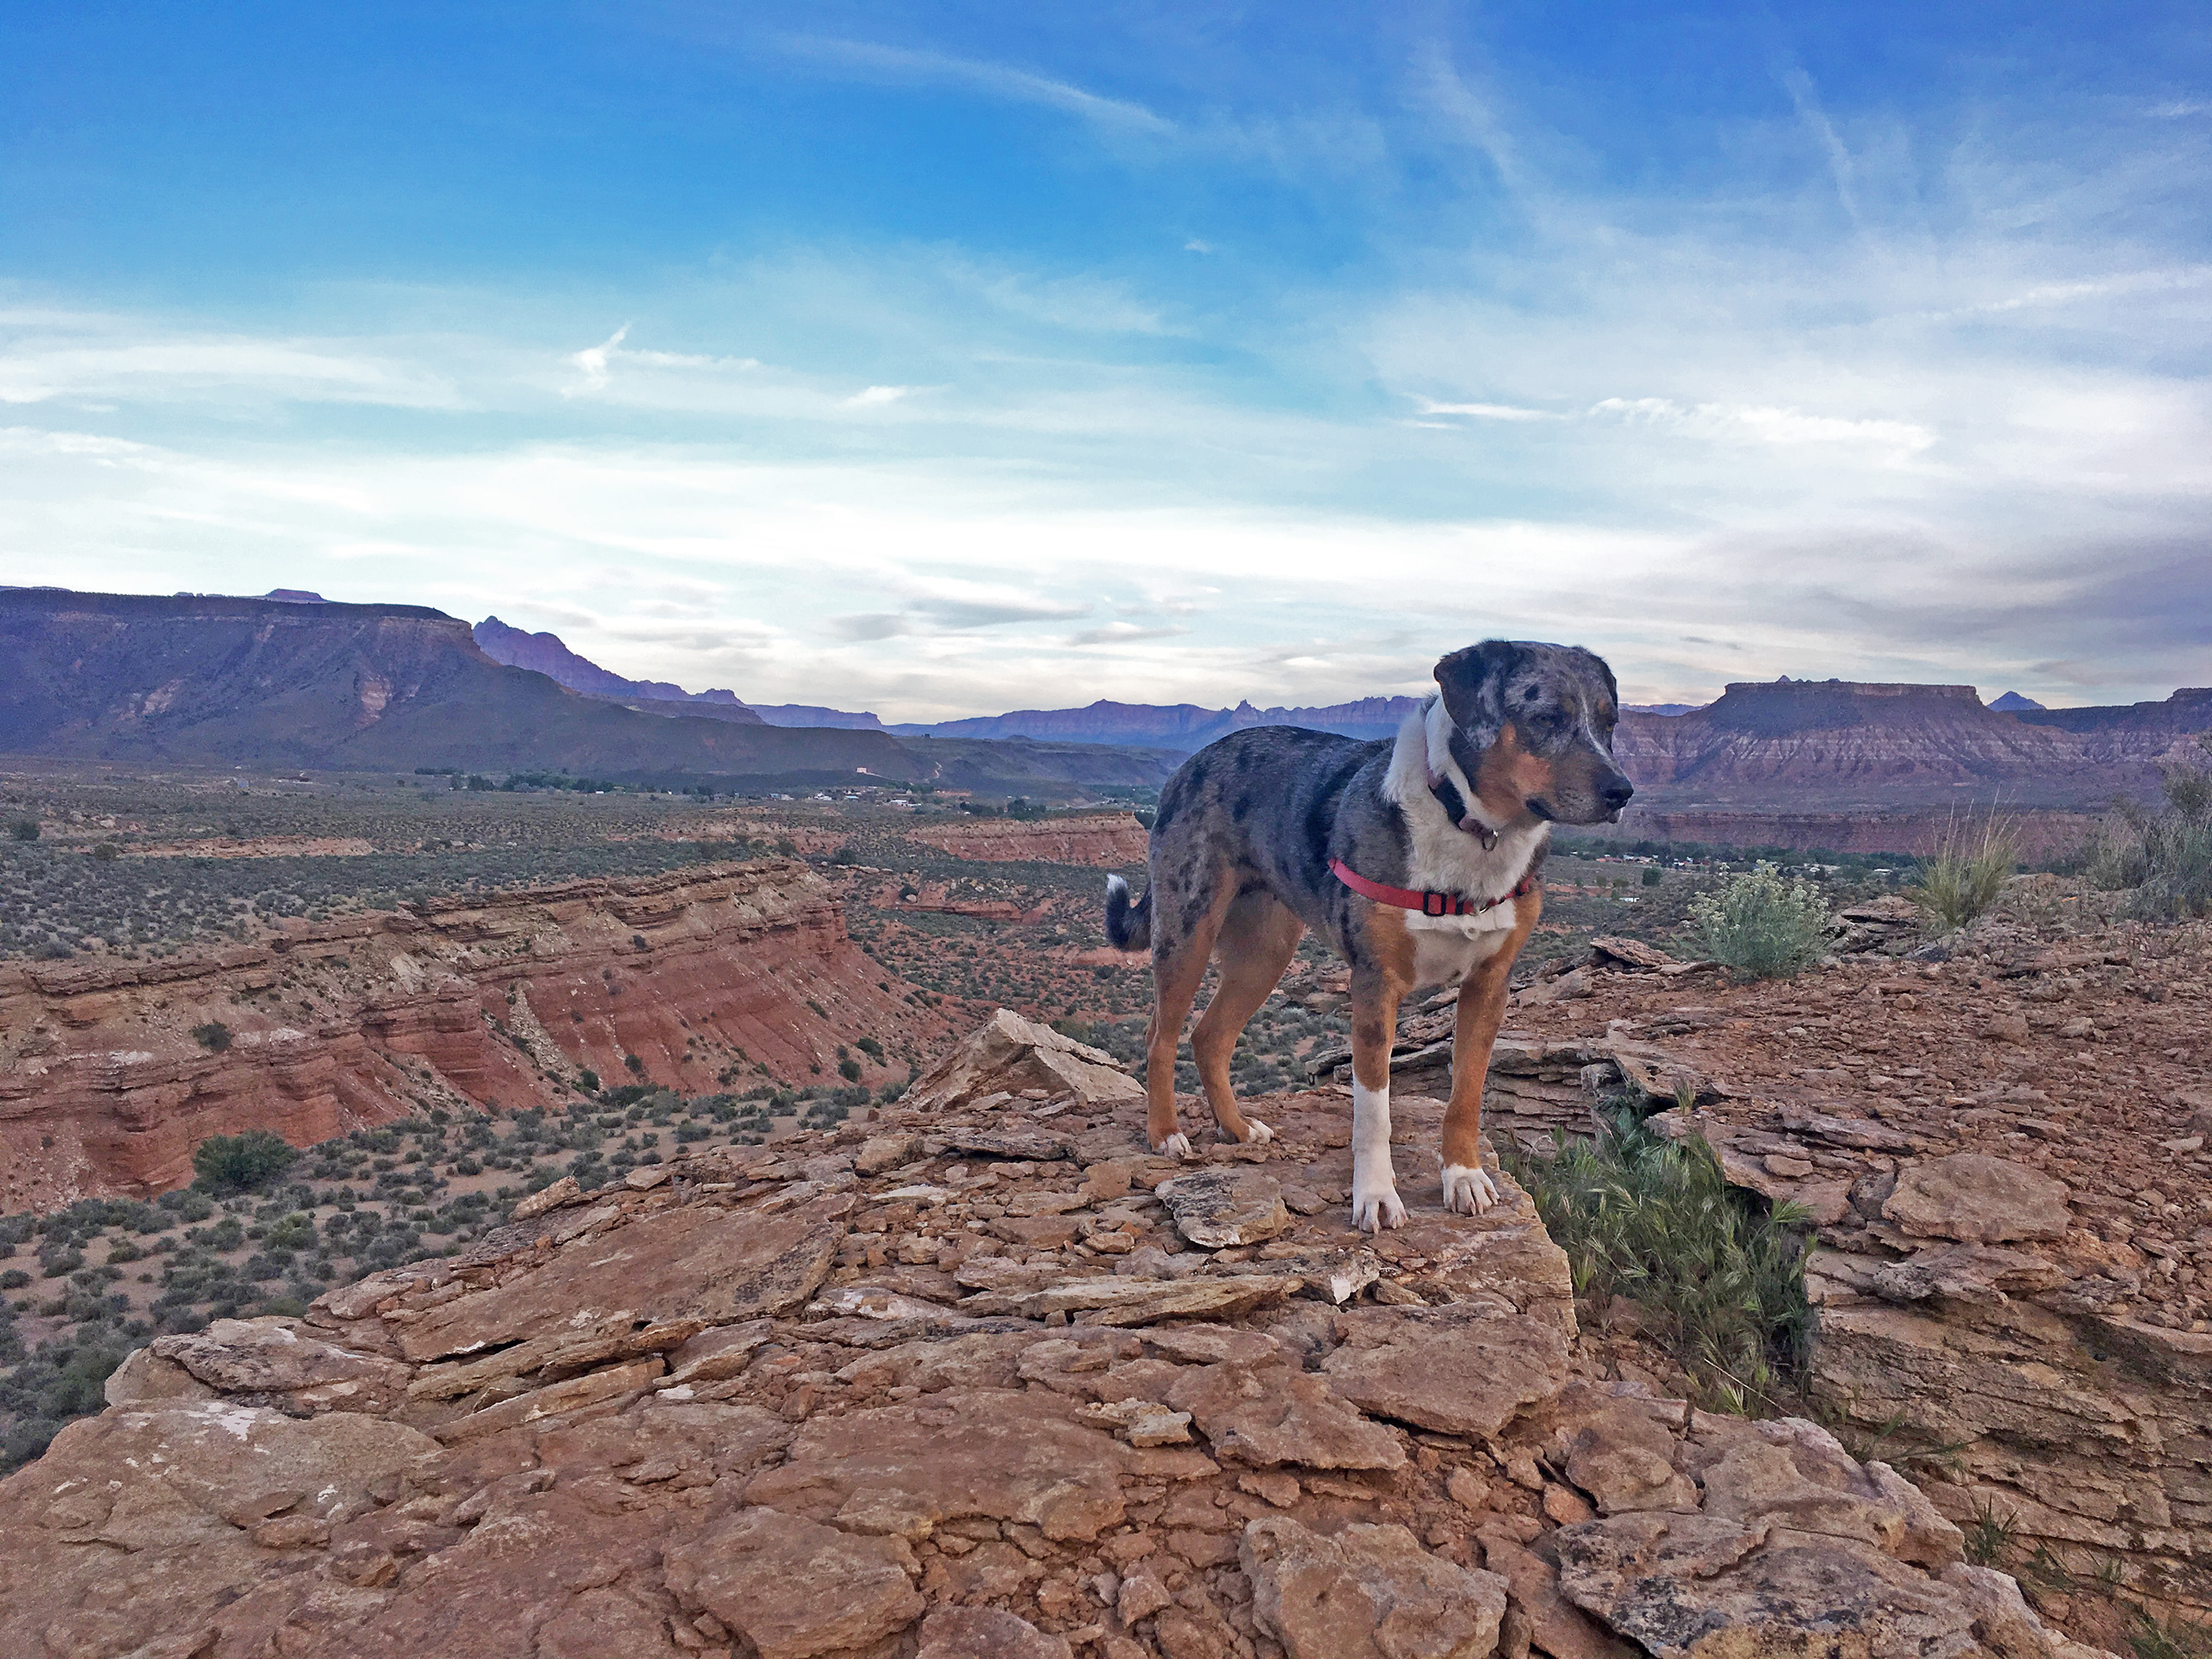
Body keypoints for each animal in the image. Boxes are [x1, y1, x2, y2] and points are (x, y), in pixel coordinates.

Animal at [1106, 641, 1645, 1230]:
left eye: (1609, 723)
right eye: (1546, 718)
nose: (1621, 791)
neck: (1464, 824)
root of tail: (1191, 763)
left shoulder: (1489, 984)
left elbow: (1466, 1094)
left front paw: (1463, 1177)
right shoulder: (1375, 984)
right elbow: (1373, 1112)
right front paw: (1376, 1196)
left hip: (1266, 952)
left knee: (1210, 1037)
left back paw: (1238, 1128)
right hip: (1188, 928)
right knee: (1161, 1036)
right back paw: (1165, 1133)